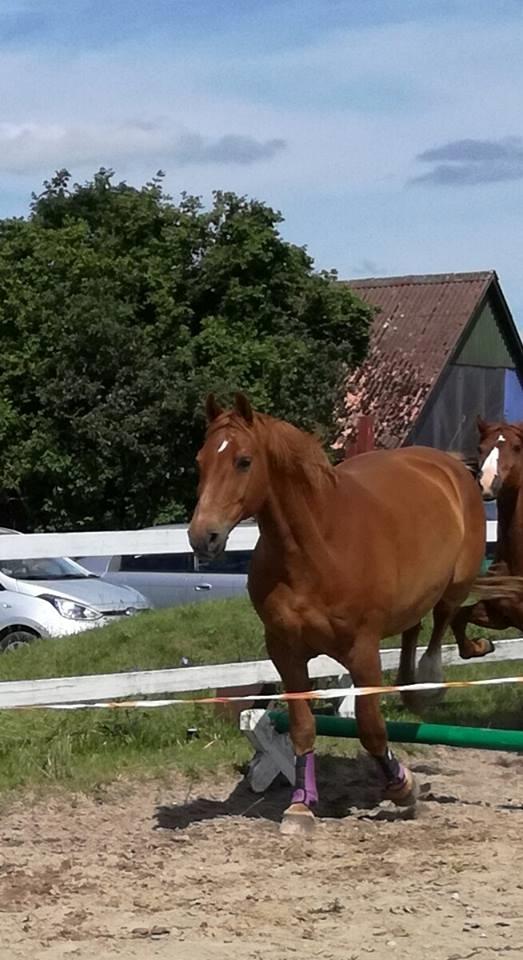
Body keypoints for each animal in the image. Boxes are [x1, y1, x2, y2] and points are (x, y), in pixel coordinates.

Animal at [189, 396, 516, 832]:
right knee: (413, 628)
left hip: (457, 581)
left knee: (442, 621)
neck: (316, 549)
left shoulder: (362, 650)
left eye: (243, 461)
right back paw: (411, 687)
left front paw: (403, 789)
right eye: (201, 461)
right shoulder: (284, 651)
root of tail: (445, 464)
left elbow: (371, 728)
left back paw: (430, 683)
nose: (202, 536)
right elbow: (303, 727)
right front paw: (300, 806)